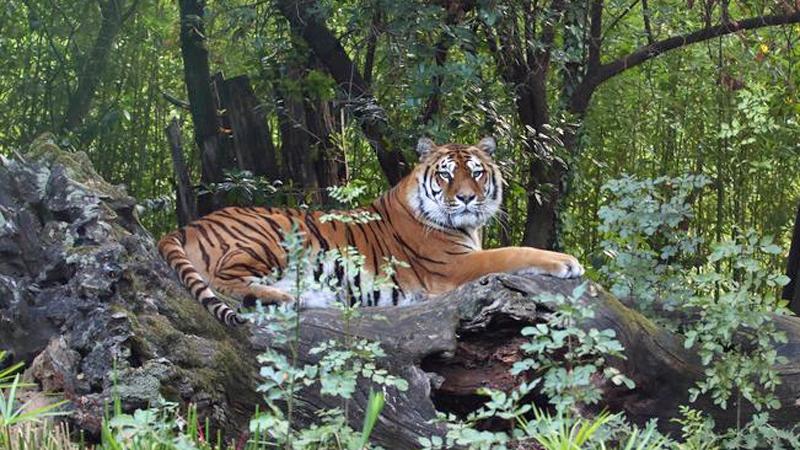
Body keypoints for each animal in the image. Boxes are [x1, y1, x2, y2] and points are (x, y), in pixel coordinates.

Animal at [158, 137, 584, 326]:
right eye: (446, 174)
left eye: (476, 172)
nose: (465, 199)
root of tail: (191, 224)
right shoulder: (455, 266)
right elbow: (514, 252)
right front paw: (567, 262)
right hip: (272, 238)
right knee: (222, 281)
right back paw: (285, 297)